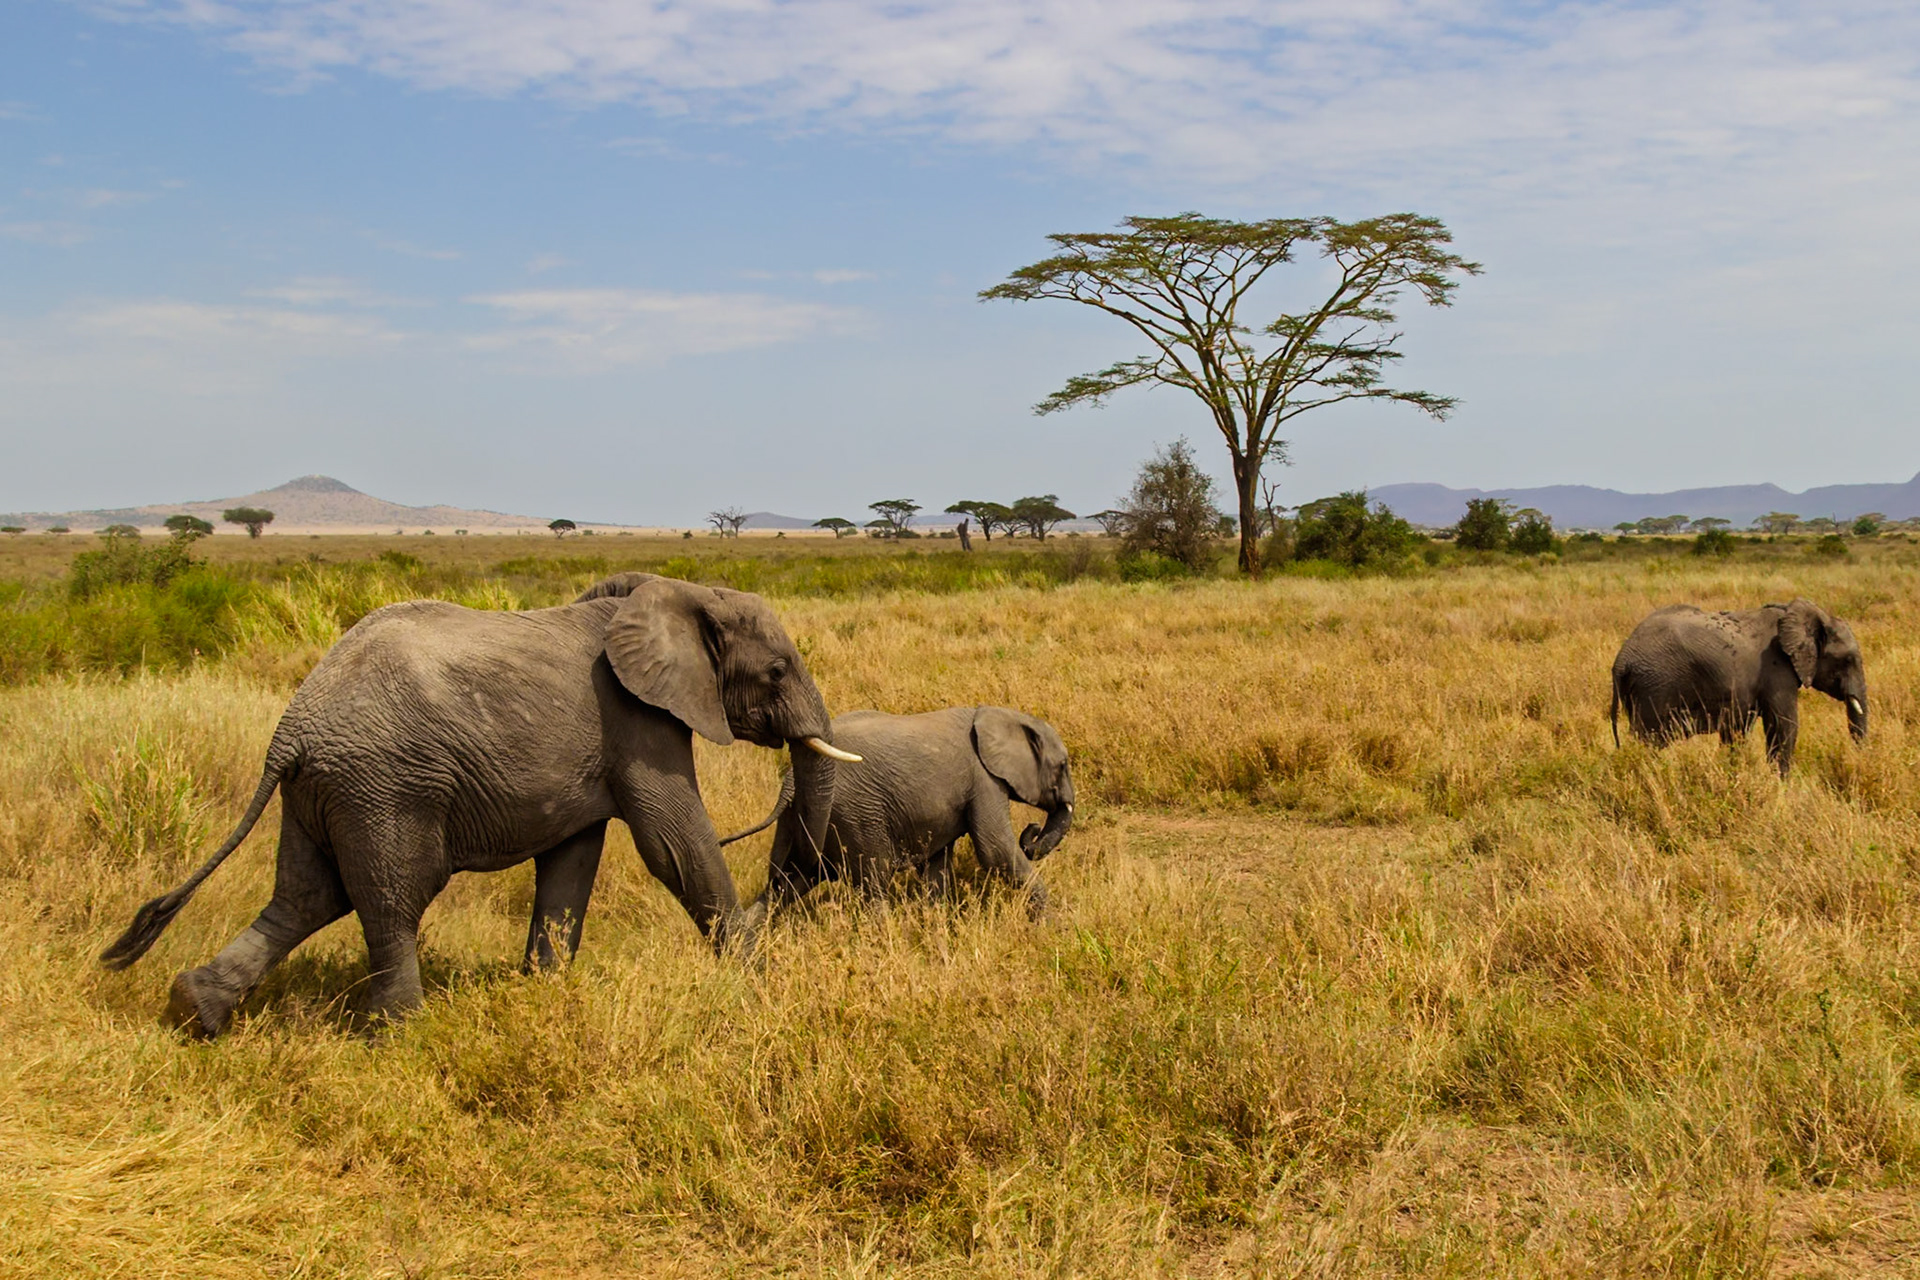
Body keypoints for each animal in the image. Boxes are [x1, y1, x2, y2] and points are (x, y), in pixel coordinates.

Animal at [99, 571, 859, 1038]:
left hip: (324, 793)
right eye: (777, 671)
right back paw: (403, 1036)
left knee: (305, 898)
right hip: (385, 788)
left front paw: (544, 993)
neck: (678, 592)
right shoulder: (638, 720)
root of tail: (290, 732)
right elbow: (674, 840)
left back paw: (192, 1011)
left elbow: (573, 860)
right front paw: (756, 977)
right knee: (391, 900)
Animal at [720, 706, 1074, 916]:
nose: (1032, 831)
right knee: (873, 880)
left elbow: (937, 867)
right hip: (856, 813)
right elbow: (995, 850)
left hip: (800, 818)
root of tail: (791, 780)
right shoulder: (984, 780)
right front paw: (1051, 924)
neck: (1002, 714)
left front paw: (933, 925)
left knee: (786, 883)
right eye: (1062, 765)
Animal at [1610, 597, 1867, 775]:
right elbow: (1784, 725)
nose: (1857, 756)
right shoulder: (1777, 669)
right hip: (1654, 686)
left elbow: (1737, 730)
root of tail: (1622, 659)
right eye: (1848, 660)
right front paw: (1781, 786)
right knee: (1649, 741)